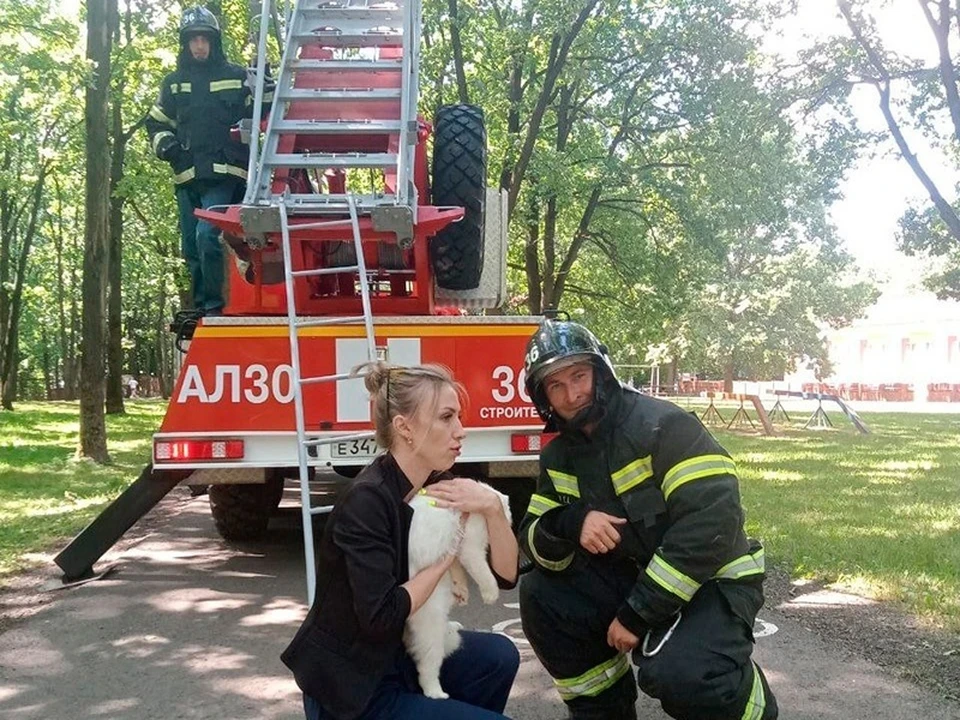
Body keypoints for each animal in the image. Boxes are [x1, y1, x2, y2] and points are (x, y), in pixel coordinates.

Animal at [404, 486, 510, 700]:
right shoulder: (471, 548)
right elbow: (483, 572)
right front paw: (490, 594)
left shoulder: (457, 552)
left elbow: (457, 569)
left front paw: (462, 591)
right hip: (432, 625)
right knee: (427, 668)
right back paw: (436, 693)